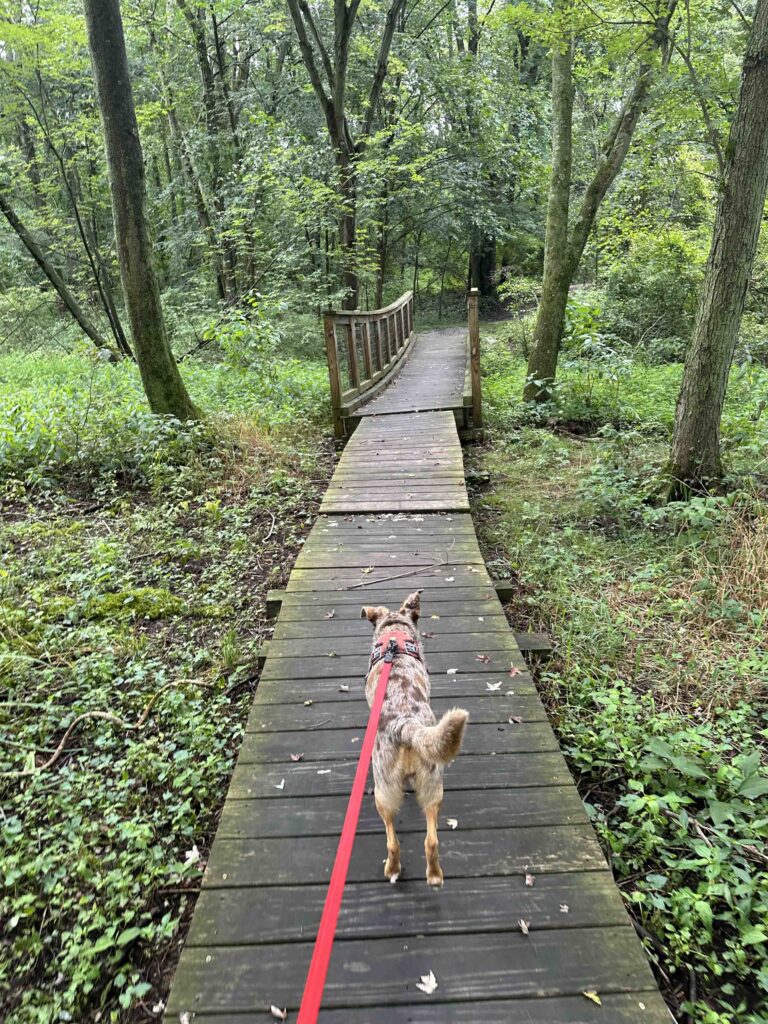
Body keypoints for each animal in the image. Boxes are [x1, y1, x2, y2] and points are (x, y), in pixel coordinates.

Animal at [360, 593, 468, 888]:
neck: (394, 635)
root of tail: (405, 725)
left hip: (383, 792)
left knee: (392, 841)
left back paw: (393, 870)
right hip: (433, 785)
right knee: (431, 840)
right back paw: (434, 876)